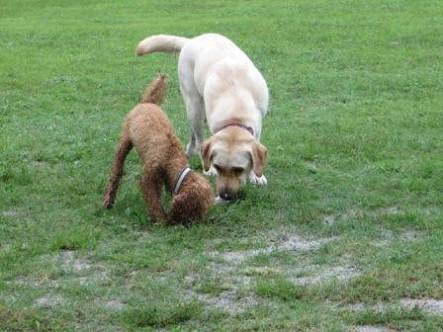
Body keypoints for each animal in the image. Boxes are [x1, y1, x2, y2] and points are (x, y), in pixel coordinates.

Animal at [104, 75, 215, 226]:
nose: (193, 225)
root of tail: (148, 102)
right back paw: (109, 199)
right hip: (125, 141)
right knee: (117, 170)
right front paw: (161, 218)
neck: (171, 157)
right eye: (194, 210)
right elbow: (154, 199)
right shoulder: (149, 178)